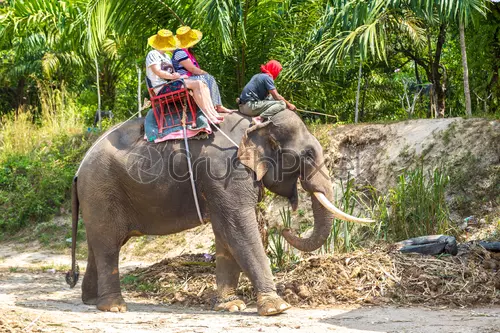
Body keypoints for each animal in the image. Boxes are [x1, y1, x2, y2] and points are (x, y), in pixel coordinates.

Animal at [66, 110, 372, 316]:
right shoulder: (225, 171)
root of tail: (78, 170)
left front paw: (232, 306)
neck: (256, 124)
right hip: (102, 190)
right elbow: (237, 227)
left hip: (99, 196)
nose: (285, 228)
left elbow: (226, 233)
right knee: (108, 245)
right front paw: (278, 308)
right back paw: (114, 307)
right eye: (307, 155)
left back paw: (91, 301)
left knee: (99, 244)